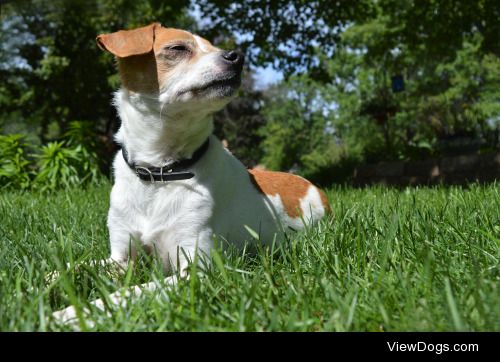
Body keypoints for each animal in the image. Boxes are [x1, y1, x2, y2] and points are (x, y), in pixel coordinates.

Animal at [52, 21, 330, 322]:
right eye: (178, 48)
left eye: (214, 46)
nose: (237, 57)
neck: (160, 171)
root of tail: (313, 186)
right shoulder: (121, 259)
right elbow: (74, 267)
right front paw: (42, 286)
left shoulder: (195, 270)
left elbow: (130, 292)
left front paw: (72, 313)